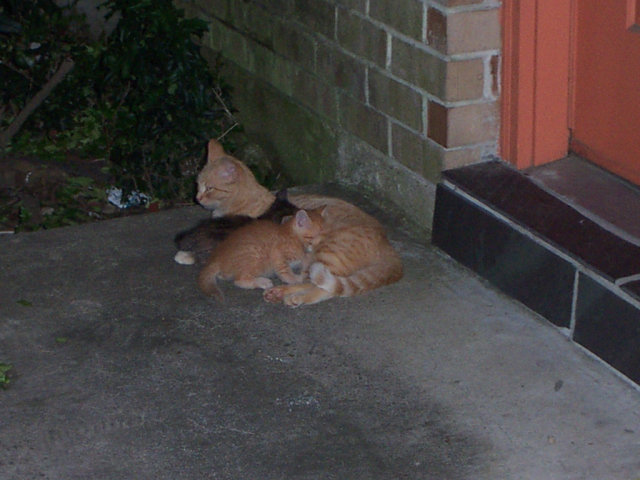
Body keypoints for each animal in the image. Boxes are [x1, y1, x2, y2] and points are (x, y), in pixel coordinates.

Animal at [196, 209, 324, 302]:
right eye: (313, 237)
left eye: (325, 235)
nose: (321, 245)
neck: (294, 238)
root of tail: (216, 258)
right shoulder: (277, 254)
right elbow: (285, 272)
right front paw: (295, 279)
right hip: (256, 256)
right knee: (239, 280)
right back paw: (262, 282)